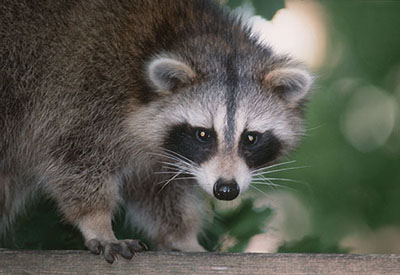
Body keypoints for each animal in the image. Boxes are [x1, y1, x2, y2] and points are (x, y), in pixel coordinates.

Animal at [0, 0, 312, 264]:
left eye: (250, 137)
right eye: (203, 134)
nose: (226, 189)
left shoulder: (170, 155)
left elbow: (160, 192)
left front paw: (181, 236)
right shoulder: (85, 97)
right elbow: (73, 160)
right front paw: (97, 222)